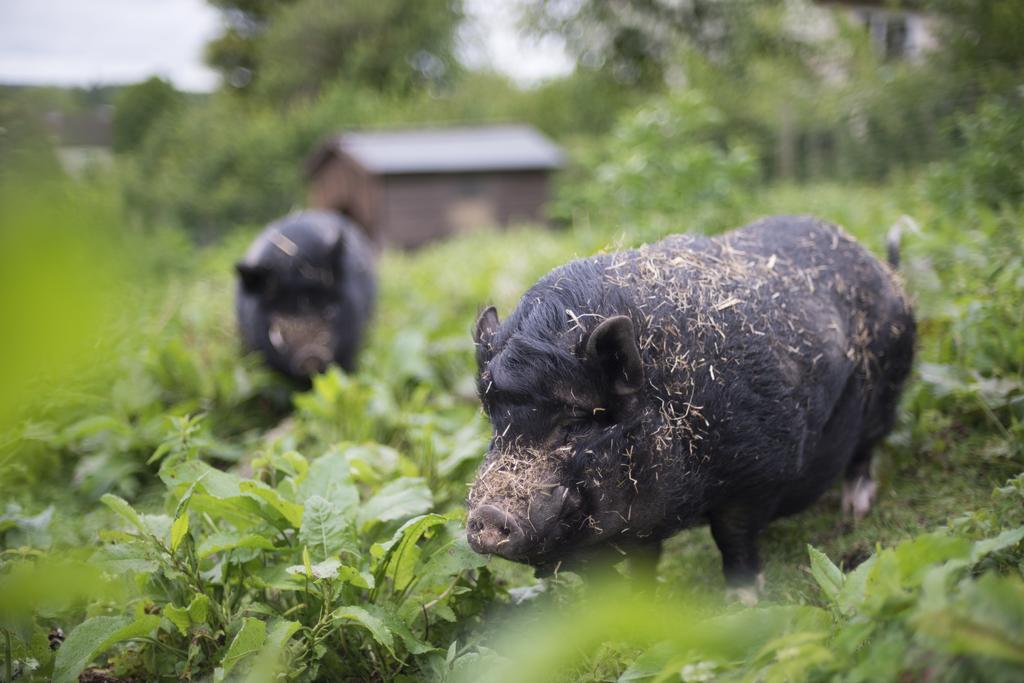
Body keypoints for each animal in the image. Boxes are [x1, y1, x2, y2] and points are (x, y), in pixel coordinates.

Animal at [464, 216, 913, 602]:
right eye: (495, 420)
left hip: (887, 392)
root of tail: (882, 266)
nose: (487, 513)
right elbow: (645, 560)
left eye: (576, 421)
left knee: (864, 452)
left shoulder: (761, 473)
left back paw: (854, 512)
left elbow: (733, 537)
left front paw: (742, 601)